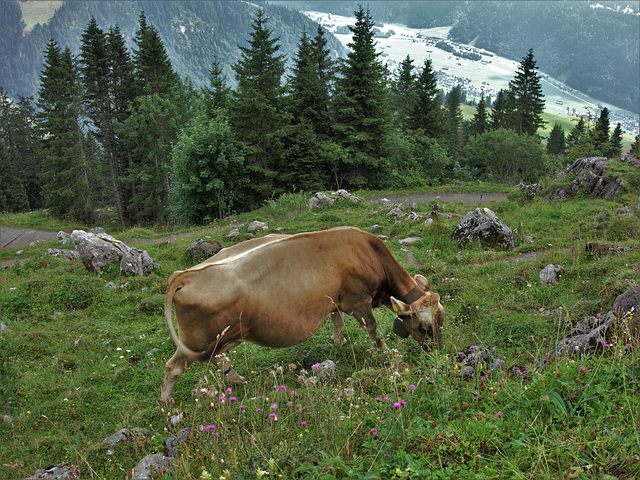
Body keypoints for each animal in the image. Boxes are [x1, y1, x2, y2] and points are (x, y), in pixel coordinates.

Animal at [160, 227, 442, 404]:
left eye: (442, 319)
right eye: (424, 328)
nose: (437, 351)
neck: (368, 253)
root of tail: (184, 275)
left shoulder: (335, 299)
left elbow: (337, 319)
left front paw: (338, 339)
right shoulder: (358, 300)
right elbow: (372, 328)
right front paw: (382, 352)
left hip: (220, 336)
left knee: (217, 356)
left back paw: (237, 379)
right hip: (196, 339)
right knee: (174, 366)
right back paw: (166, 400)